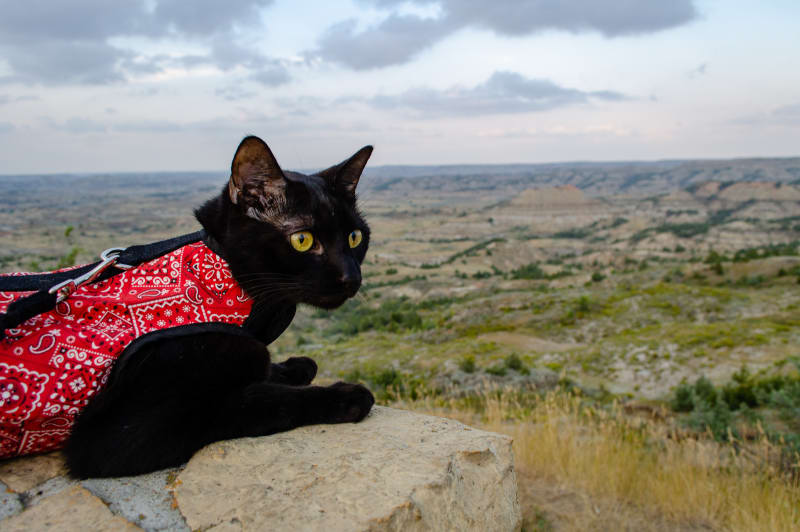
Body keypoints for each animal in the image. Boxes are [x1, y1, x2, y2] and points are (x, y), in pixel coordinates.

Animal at [65, 136, 376, 478]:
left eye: (355, 237)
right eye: (303, 240)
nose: (352, 276)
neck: (221, 281)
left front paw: (291, 368)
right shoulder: (121, 437)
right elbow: (261, 400)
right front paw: (344, 395)